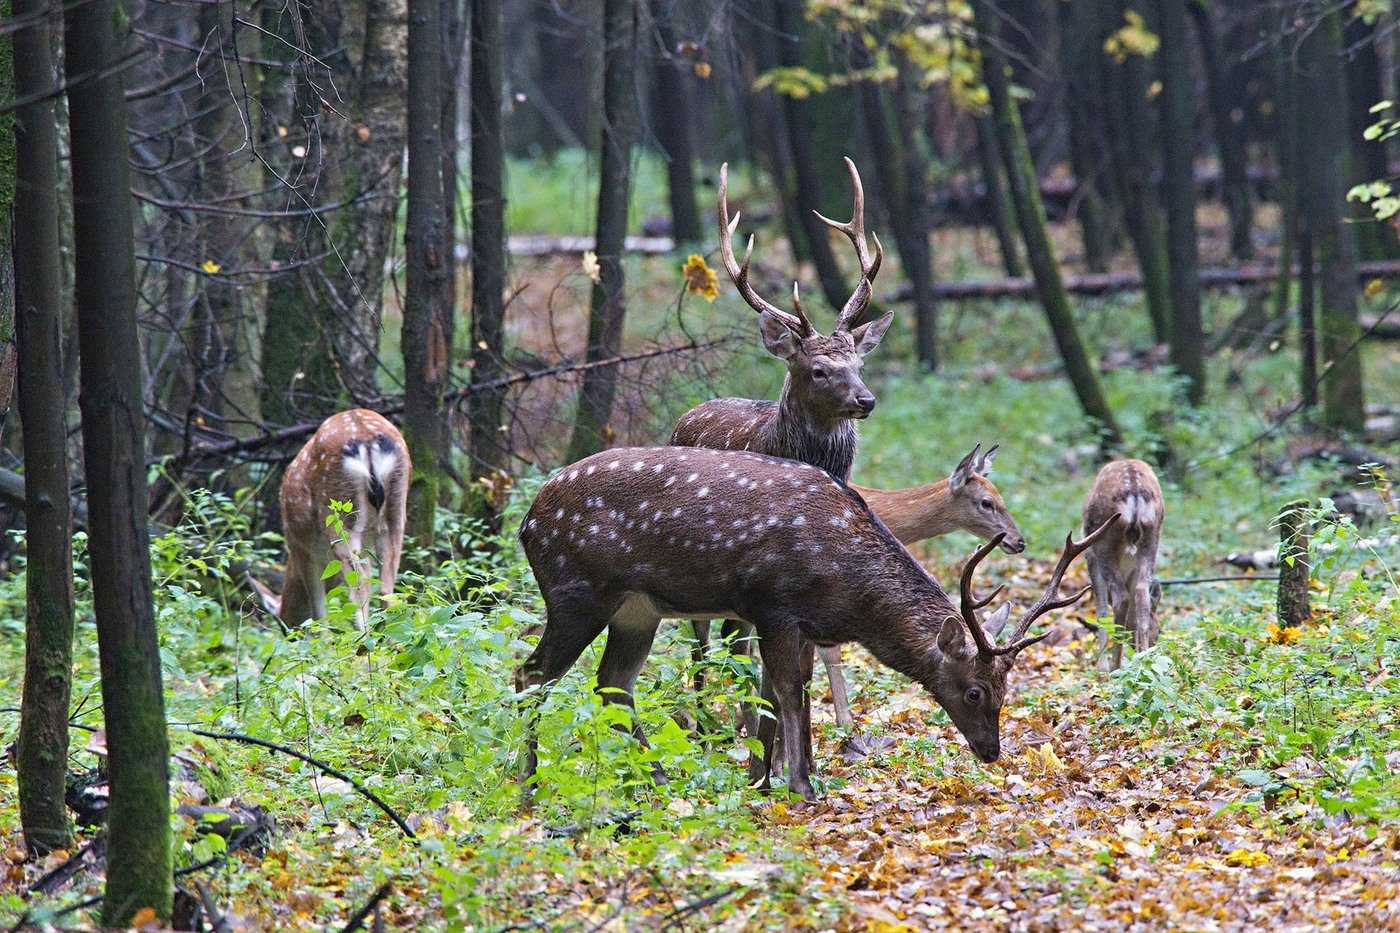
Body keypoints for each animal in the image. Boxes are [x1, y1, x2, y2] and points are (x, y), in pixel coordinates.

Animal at [254, 406, 411, 624]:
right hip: (396, 511)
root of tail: (366, 436)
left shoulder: (302, 548)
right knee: (387, 590)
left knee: (360, 586)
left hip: (339, 517)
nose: (288, 628)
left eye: (280, 620)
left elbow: (319, 612)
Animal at [515, 445, 1114, 801]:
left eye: (1006, 689)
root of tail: (526, 521)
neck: (848, 593)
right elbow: (786, 690)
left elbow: (783, 693)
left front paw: (767, 777)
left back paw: (661, 776)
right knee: (532, 674)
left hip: (638, 611)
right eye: (972, 691)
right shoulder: (772, 605)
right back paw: (529, 782)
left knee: (612, 684)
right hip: (577, 592)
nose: (991, 751)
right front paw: (801, 784)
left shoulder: (799, 623)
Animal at [669, 158, 890, 734]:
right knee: (706, 638)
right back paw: (709, 719)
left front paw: (846, 728)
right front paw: (753, 725)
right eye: (818, 369)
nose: (866, 399)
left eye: (858, 362)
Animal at [1075, 456, 1164, 669]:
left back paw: (1114, 667)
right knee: (1141, 593)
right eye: (1160, 630)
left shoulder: (1090, 556)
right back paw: (1143, 659)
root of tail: (1135, 490)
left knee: (1120, 597)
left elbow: (1100, 611)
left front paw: (1101, 668)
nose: (1155, 644)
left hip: (1104, 544)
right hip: (1151, 540)